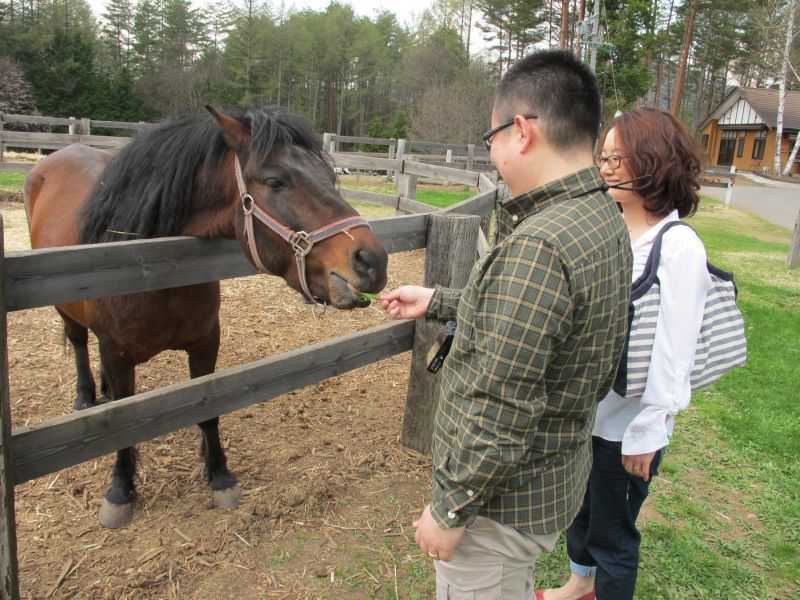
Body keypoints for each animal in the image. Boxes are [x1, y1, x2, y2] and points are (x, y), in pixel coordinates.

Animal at [24, 105, 388, 528]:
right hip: (65, 308)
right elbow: (123, 426)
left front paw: (219, 474)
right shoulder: (116, 352)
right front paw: (120, 490)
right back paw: (85, 395)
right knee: (79, 341)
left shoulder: (205, 342)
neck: (149, 267)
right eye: (275, 181)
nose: (372, 261)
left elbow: (208, 411)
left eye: (331, 178)